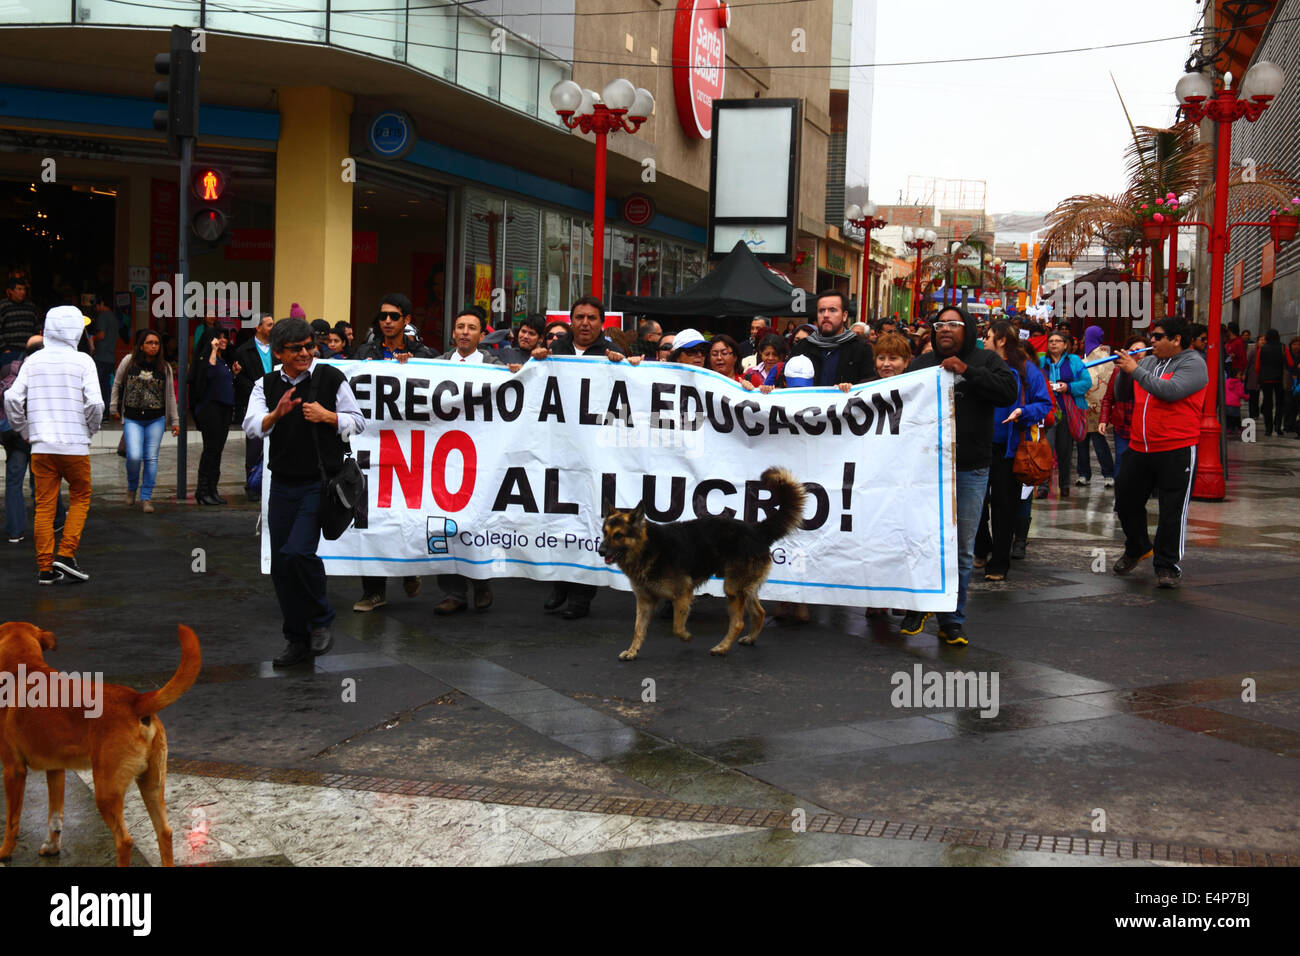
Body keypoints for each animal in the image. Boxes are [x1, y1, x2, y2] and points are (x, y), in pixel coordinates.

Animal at [0, 621, 200, 868]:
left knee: (124, 841)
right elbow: (55, 815)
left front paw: (4, 852)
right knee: (164, 832)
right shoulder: (56, 770)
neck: (23, 667)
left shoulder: (13, 770)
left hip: (106, 792)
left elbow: (12, 821)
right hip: (152, 784)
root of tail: (135, 700)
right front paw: (52, 846)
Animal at [595, 468, 800, 660]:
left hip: (733, 589)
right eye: (604, 533)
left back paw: (722, 647)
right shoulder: (645, 601)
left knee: (738, 623)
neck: (647, 548)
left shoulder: (682, 594)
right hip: (744, 588)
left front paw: (686, 636)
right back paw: (750, 639)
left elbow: (677, 627)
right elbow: (638, 629)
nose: (600, 551)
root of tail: (756, 530)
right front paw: (632, 651)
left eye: (618, 535)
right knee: (759, 613)